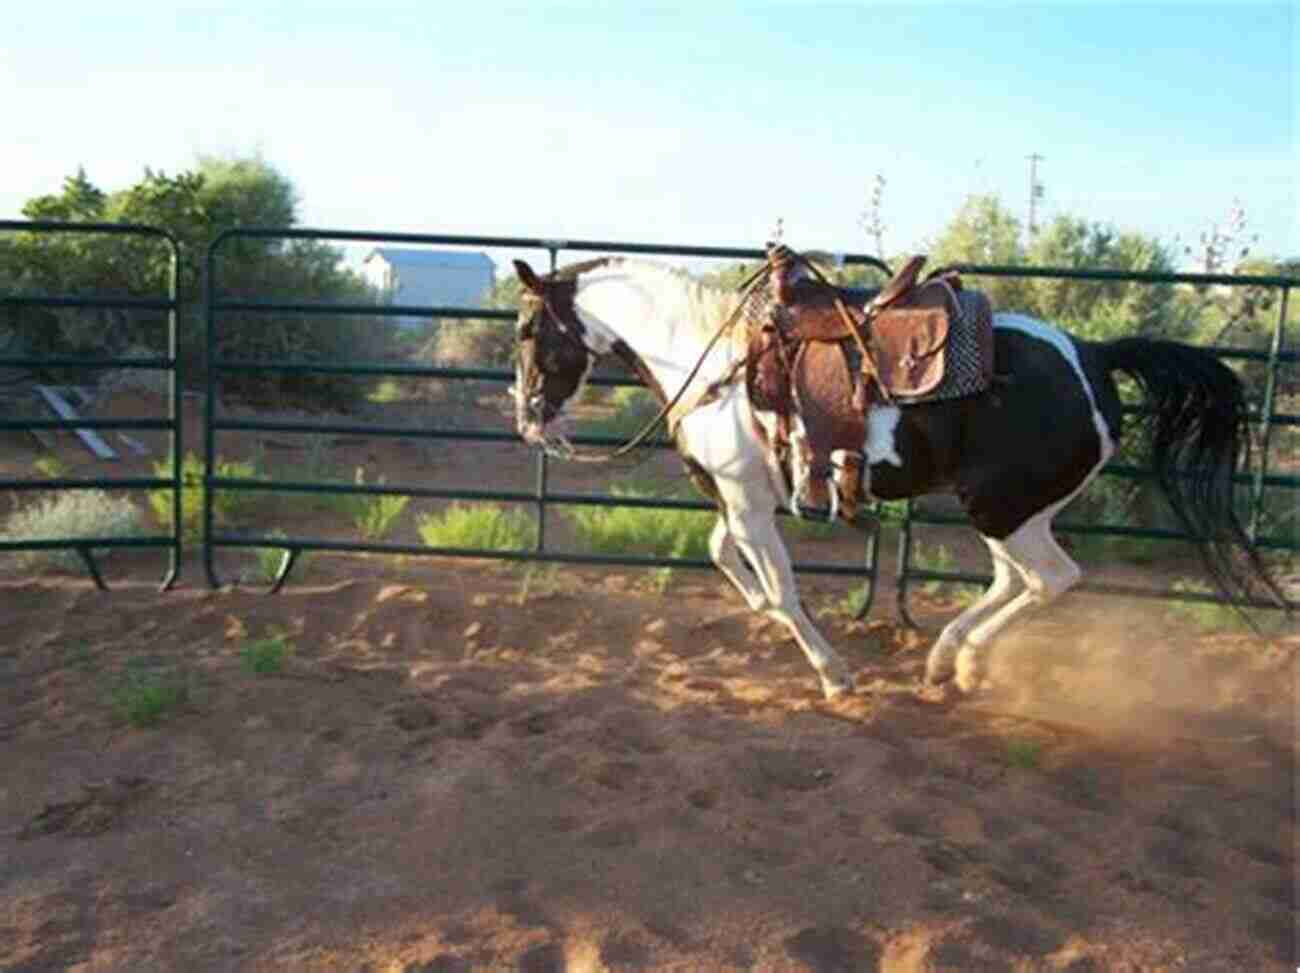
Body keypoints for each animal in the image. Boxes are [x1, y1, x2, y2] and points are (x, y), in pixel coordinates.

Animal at [504, 256, 1279, 697]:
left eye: (528, 332)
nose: (530, 421)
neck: (712, 358)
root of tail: (1093, 354)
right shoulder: (741, 503)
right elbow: (722, 556)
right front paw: (764, 613)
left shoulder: (750, 506)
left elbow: (782, 590)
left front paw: (833, 674)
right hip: (1013, 512)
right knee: (1016, 581)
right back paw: (950, 661)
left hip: (1000, 508)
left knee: (1050, 580)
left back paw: (958, 660)